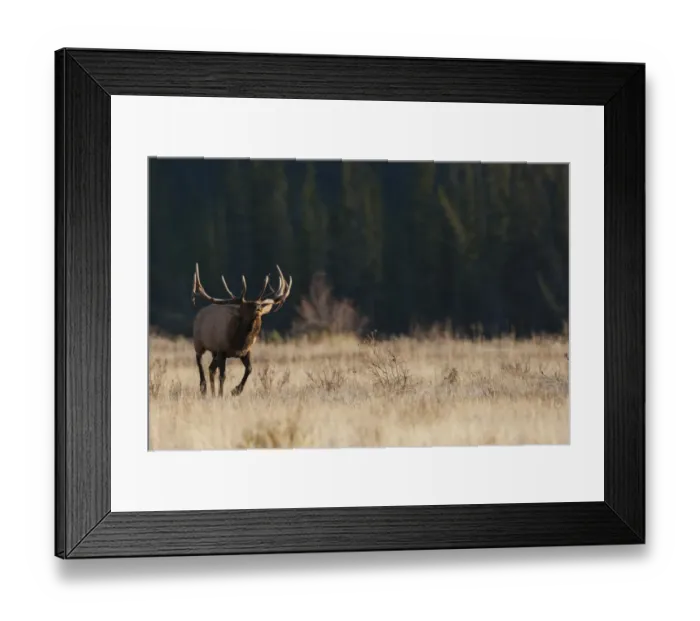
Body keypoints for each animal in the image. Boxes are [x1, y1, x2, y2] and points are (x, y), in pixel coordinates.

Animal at [191, 262, 292, 397]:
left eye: (258, 304)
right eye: (247, 306)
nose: (259, 307)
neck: (238, 343)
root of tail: (198, 314)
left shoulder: (245, 352)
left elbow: (249, 369)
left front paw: (236, 390)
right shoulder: (222, 350)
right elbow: (223, 376)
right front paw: (222, 394)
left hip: (213, 352)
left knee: (211, 369)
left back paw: (212, 393)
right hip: (199, 343)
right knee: (200, 362)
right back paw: (203, 388)